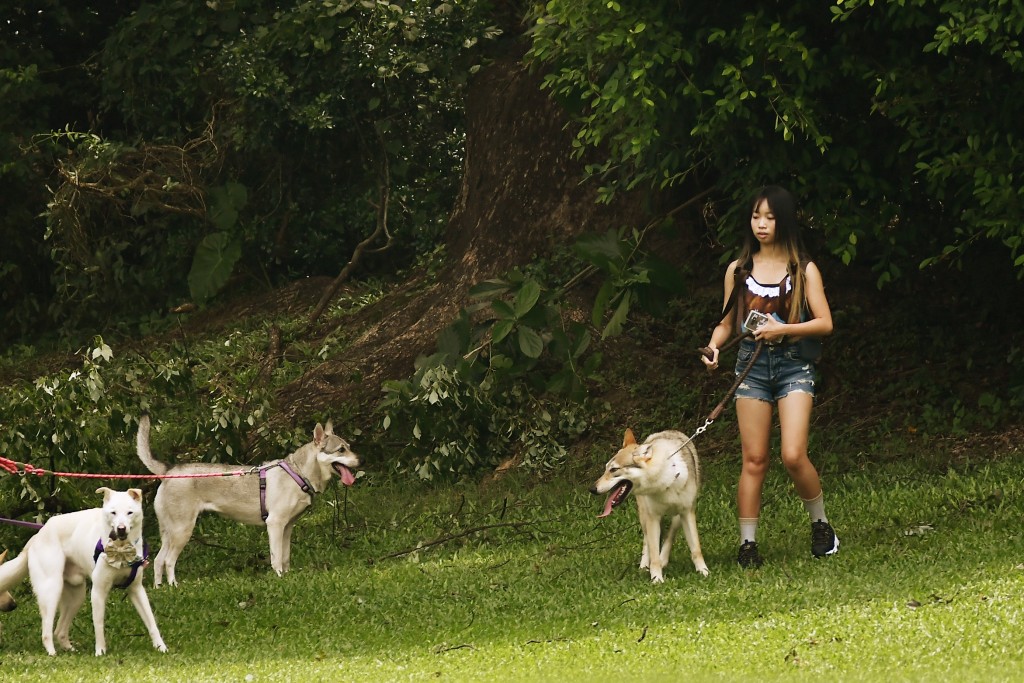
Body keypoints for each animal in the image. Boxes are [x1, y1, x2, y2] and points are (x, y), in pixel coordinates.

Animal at [0, 489, 164, 655]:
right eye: (113, 513)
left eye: (129, 512)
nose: (121, 528)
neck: (121, 549)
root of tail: (37, 535)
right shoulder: (98, 592)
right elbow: (98, 625)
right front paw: (100, 652)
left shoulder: (136, 590)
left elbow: (151, 622)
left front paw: (161, 647)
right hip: (51, 590)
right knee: (46, 631)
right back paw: (52, 653)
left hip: (76, 596)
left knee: (59, 630)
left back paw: (70, 649)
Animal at [136, 413, 360, 585]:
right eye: (341, 450)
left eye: (349, 446)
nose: (362, 460)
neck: (298, 473)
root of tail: (169, 470)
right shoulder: (275, 525)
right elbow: (276, 558)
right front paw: (279, 578)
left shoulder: (287, 527)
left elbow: (285, 557)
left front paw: (287, 576)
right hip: (182, 531)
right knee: (168, 561)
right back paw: (174, 586)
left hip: (169, 532)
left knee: (158, 561)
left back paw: (160, 588)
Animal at [589, 428, 708, 581]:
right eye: (605, 469)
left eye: (613, 470)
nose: (592, 489)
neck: (665, 481)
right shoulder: (653, 518)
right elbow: (653, 553)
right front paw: (656, 578)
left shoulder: (687, 513)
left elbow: (696, 549)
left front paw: (704, 572)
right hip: (644, 516)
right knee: (647, 542)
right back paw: (644, 566)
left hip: (677, 518)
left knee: (670, 535)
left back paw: (664, 559)